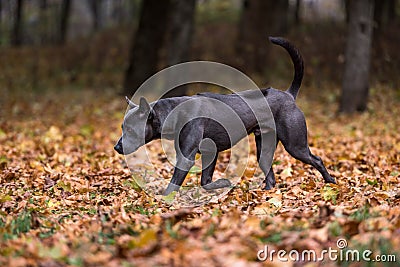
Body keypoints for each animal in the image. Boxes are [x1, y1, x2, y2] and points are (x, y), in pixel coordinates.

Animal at [114, 37, 336, 195]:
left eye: (131, 129)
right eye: (123, 127)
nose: (116, 147)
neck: (173, 113)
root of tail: (289, 95)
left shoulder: (187, 157)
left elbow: (175, 182)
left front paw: (164, 199)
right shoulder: (208, 153)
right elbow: (205, 181)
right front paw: (223, 183)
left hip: (295, 145)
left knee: (317, 160)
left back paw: (330, 182)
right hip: (263, 148)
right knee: (271, 176)